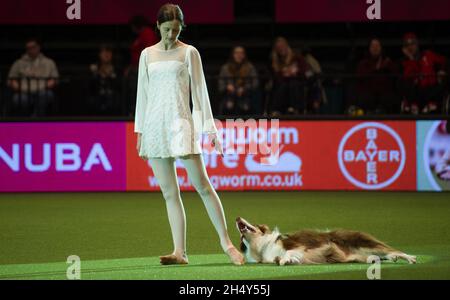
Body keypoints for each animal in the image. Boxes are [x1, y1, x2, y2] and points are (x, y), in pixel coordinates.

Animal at [237, 218, 416, 264]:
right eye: (241, 239)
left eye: (253, 224)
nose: (237, 218)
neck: (261, 247)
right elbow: (280, 258)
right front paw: (286, 261)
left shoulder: (299, 245)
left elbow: (287, 253)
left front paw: (285, 259)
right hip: (363, 256)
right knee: (380, 256)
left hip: (367, 243)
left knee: (391, 249)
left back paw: (410, 258)